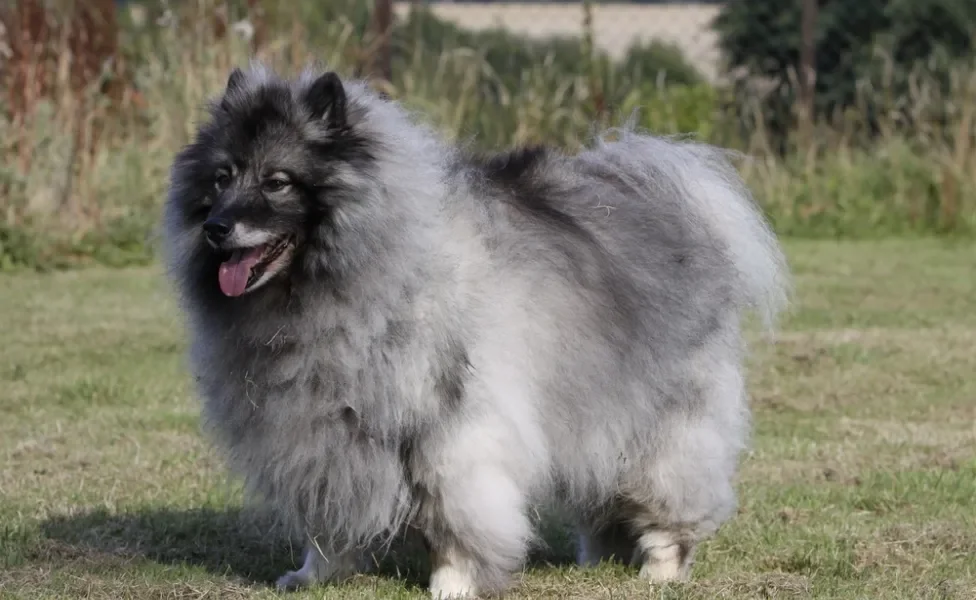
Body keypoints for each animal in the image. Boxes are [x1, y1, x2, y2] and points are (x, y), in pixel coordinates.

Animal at [160, 63, 784, 596]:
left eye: (277, 182)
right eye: (222, 178)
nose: (217, 227)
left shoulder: (453, 431)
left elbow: (456, 514)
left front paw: (453, 582)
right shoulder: (321, 436)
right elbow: (327, 515)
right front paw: (317, 573)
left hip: (662, 423)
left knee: (669, 494)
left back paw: (659, 567)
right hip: (598, 410)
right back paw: (596, 558)